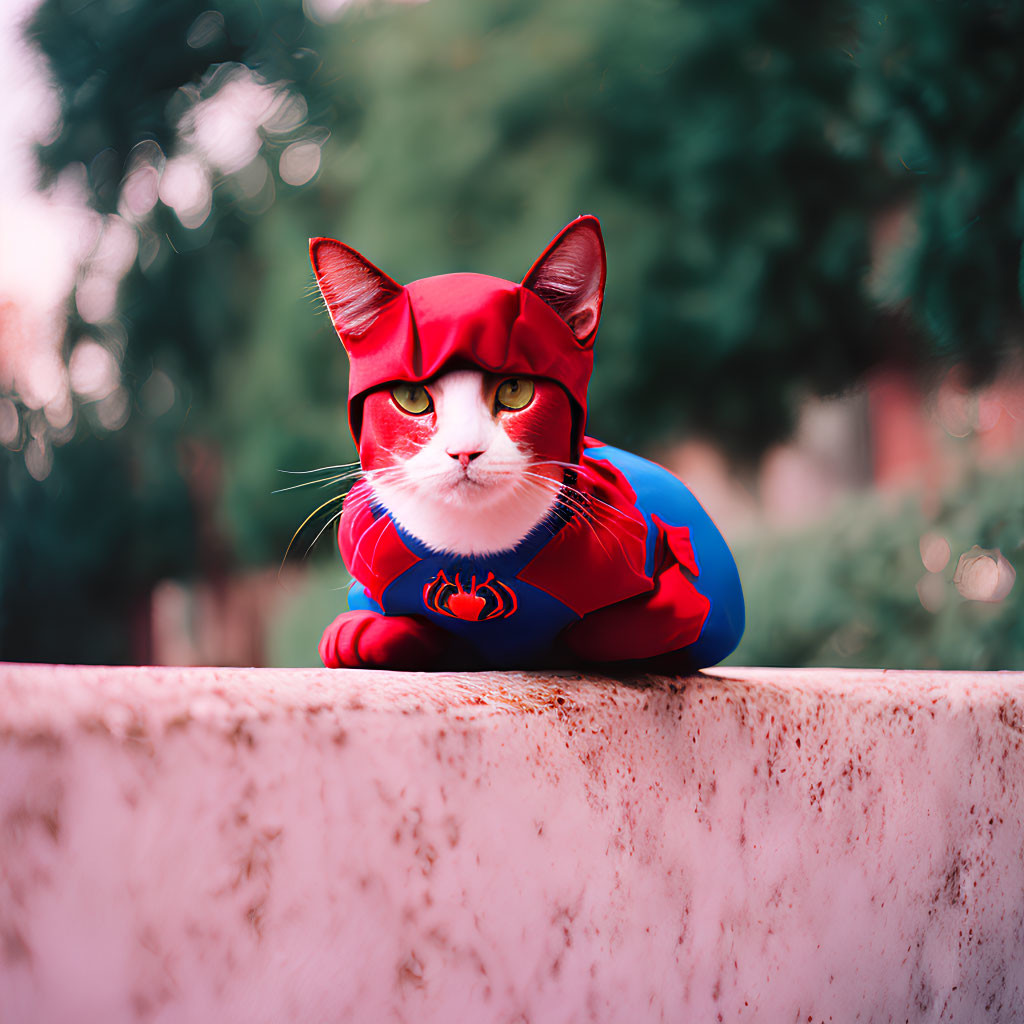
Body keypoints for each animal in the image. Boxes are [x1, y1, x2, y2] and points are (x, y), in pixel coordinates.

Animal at [307, 214, 741, 671]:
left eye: (515, 389)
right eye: (412, 397)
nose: (464, 451)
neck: (473, 554)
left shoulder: (684, 597)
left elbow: (625, 628)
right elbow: (371, 621)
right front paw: (368, 631)